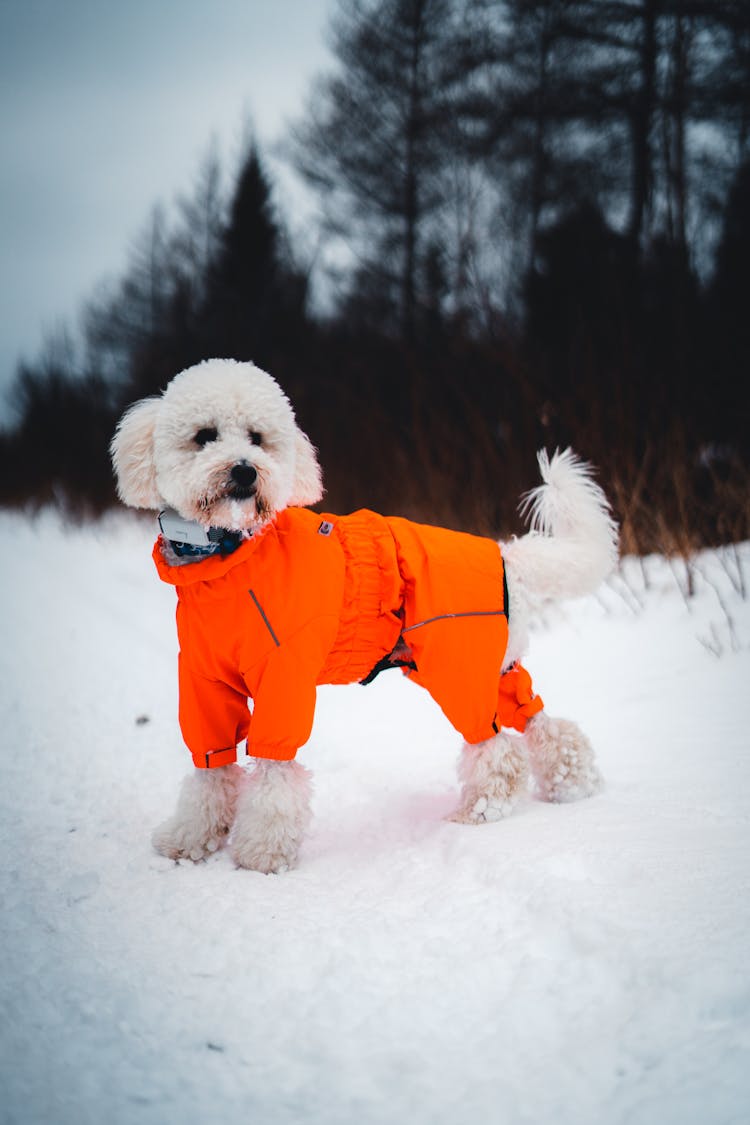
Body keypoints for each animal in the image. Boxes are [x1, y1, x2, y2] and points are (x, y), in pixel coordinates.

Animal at [110, 355, 616, 873]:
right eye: (205, 435)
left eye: (256, 437)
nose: (246, 471)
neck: (229, 557)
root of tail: (504, 554)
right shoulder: (203, 683)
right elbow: (211, 769)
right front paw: (190, 840)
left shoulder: (284, 679)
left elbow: (275, 772)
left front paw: (263, 853)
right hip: (491, 664)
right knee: (539, 720)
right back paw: (573, 781)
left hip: (457, 667)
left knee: (496, 747)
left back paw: (482, 809)